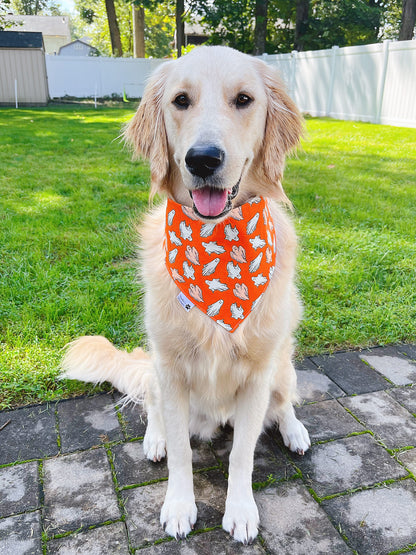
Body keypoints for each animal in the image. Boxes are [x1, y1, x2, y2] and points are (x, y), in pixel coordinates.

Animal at [61, 45, 308, 544]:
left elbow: (242, 454)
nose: (203, 160)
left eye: (244, 99)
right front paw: (178, 505)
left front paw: (241, 511)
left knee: (285, 402)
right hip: (156, 369)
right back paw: (153, 438)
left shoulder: (258, 375)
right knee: (154, 410)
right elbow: (179, 452)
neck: (217, 244)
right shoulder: (171, 370)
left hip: (283, 362)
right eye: (180, 101)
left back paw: (295, 432)